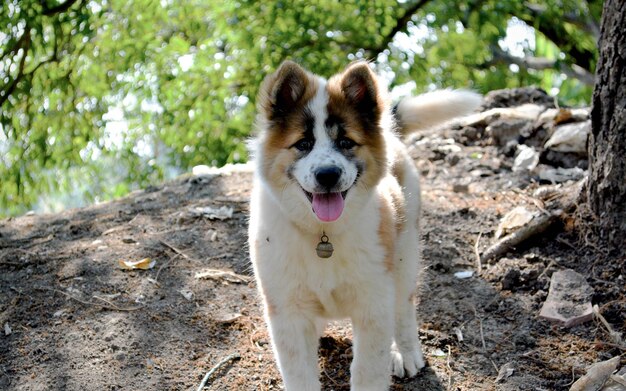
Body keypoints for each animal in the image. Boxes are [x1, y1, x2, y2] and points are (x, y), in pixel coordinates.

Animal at [247, 59, 478, 390]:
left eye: (346, 143)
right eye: (303, 144)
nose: (327, 175)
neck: (324, 236)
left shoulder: (373, 305)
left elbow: (368, 370)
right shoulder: (287, 311)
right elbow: (300, 373)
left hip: (404, 257)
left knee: (403, 309)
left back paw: (406, 352)